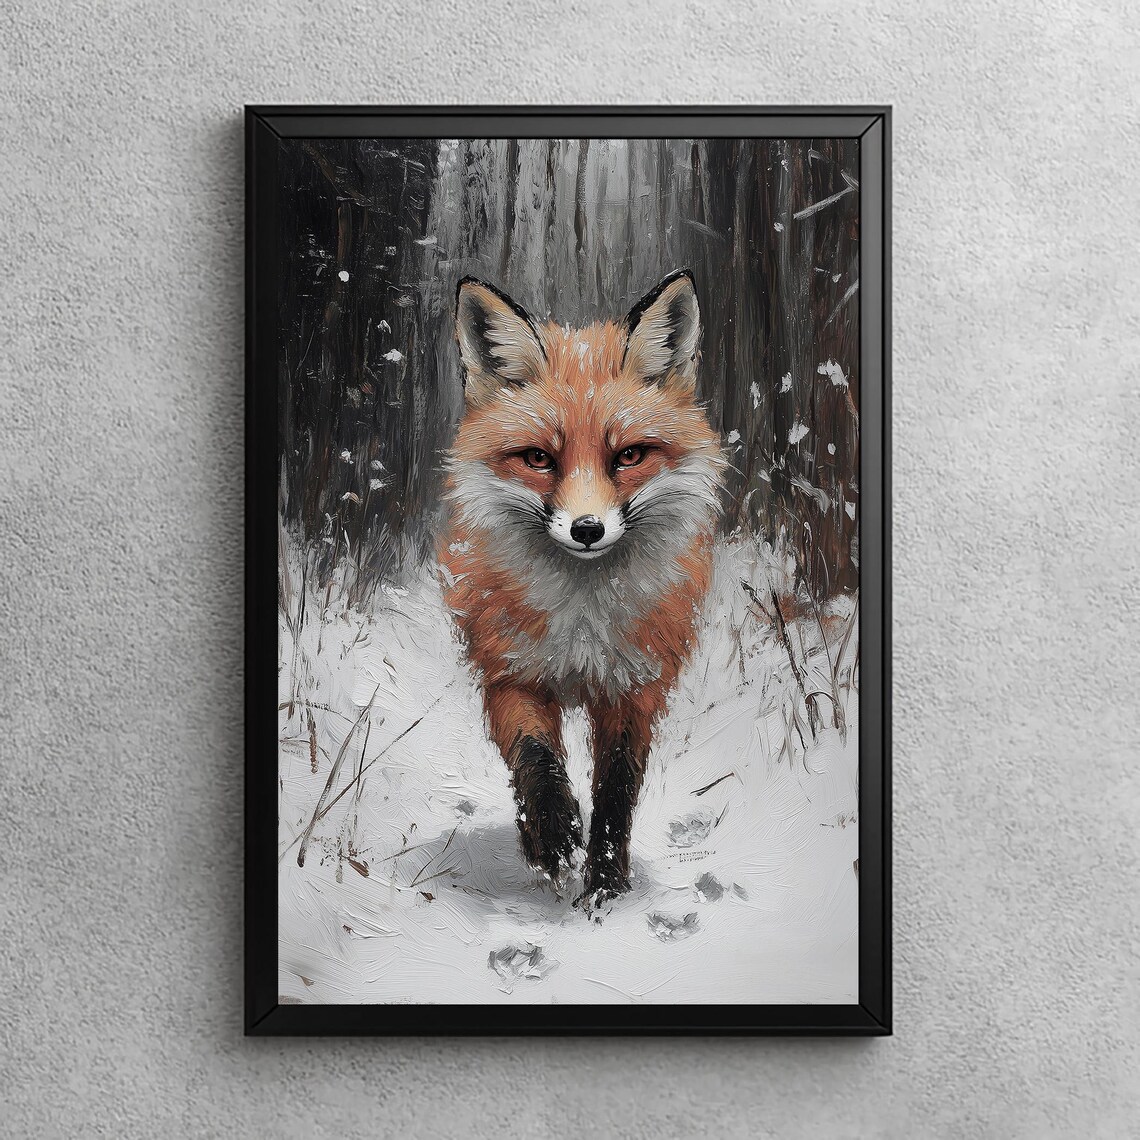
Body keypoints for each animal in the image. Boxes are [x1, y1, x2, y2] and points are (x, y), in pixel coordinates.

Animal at [439, 270, 725, 907]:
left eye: (630, 455)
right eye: (539, 458)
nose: (587, 529)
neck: (582, 621)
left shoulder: (636, 685)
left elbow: (617, 789)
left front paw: (605, 886)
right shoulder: (509, 670)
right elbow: (536, 760)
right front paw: (551, 837)